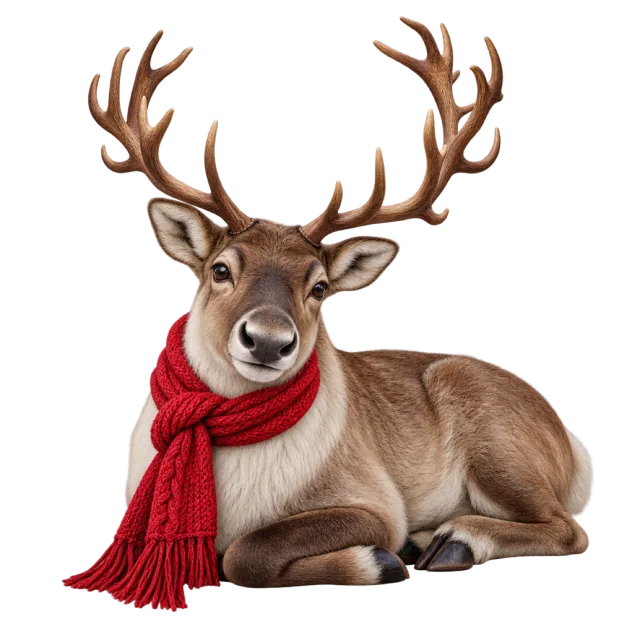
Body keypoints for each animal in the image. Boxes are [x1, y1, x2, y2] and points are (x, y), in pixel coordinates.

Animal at [84, 17, 595, 590]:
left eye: (320, 287)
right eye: (220, 269)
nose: (268, 340)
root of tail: (572, 441)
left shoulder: (377, 501)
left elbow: (247, 552)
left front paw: (378, 560)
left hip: (493, 436)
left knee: (570, 528)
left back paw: (453, 541)